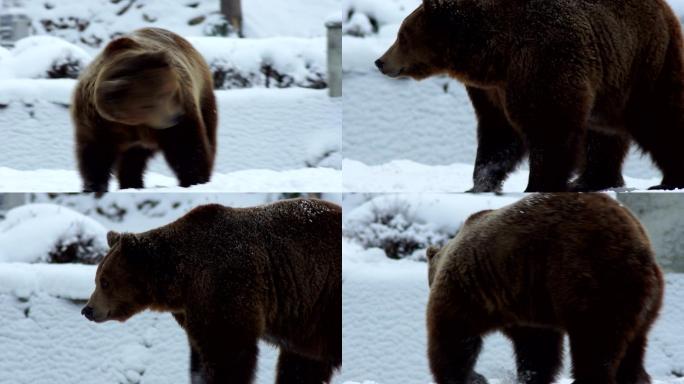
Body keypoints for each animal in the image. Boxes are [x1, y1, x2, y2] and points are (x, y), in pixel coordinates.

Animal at [72, 27, 216, 192]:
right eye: (149, 104)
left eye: (172, 93)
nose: (175, 117)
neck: (129, 123)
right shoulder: (95, 121)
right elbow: (95, 154)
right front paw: (93, 186)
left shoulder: (181, 110)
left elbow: (185, 144)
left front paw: (194, 180)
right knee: (132, 159)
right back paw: (131, 183)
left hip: (204, 95)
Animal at [81, 200, 342, 382]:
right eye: (97, 278)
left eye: (105, 281)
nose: (87, 309)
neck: (180, 279)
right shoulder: (193, 307)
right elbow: (201, 353)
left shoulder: (225, 284)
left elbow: (227, 350)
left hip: (325, 301)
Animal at [374, 0, 684, 192]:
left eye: (402, 35)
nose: (380, 61)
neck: (493, 54)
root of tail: (665, 9)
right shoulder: (492, 90)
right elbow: (498, 134)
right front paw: (480, 183)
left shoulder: (544, 58)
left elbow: (549, 124)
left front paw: (539, 183)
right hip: (613, 83)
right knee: (603, 135)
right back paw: (591, 180)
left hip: (646, 62)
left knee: (660, 118)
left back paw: (667, 180)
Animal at [428, 195, 664, 384]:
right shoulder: (528, 303)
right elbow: (538, 349)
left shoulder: (472, 288)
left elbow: (452, 334)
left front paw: (468, 377)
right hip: (641, 302)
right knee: (631, 353)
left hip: (591, 279)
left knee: (594, 344)